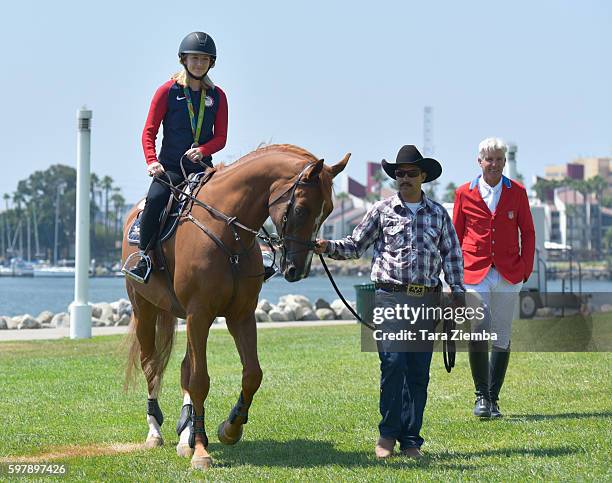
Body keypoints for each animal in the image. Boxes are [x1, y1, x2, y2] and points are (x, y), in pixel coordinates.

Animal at [122, 146, 350, 470]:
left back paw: (185, 435)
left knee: (183, 367)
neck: (226, 232)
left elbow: (252, 374)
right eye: (302, 209)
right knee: (151, 365)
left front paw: (229, 428)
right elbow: (200, 380)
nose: (299, 270)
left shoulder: (240, 316)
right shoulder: (199, 314)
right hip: (145, 309)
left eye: (329, 212)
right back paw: (155, 432)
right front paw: (201, 451)